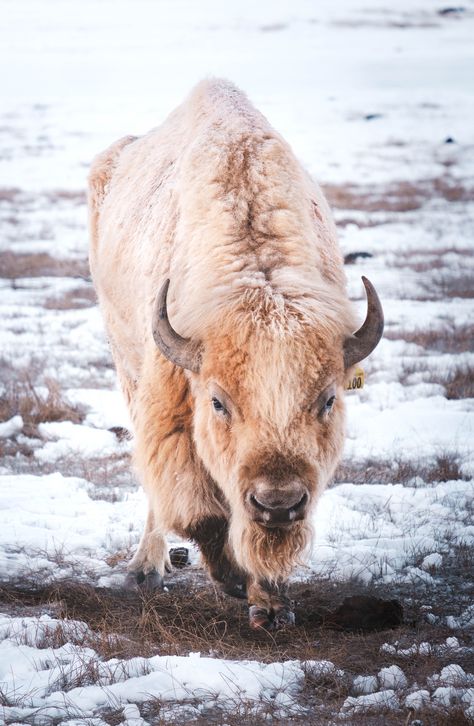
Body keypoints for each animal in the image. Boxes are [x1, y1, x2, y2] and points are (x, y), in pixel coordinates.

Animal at [89, 77, 384, 628]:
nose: (277, 502)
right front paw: (231, 580)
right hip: (126, 362)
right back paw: (145, 570)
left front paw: (271, 605)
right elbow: (200, 511)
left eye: (328, 400)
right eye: (218, 402)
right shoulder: (171, 406)